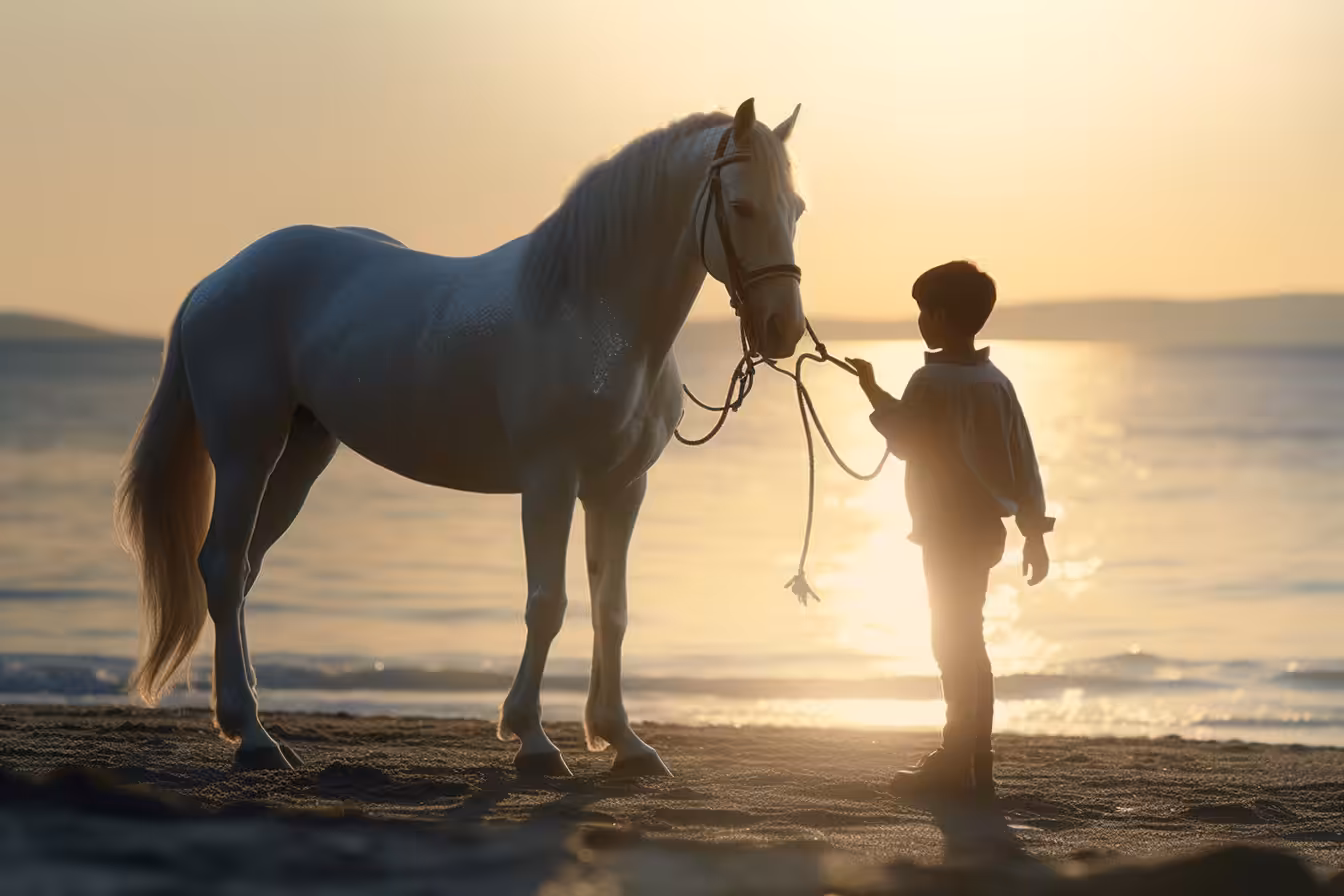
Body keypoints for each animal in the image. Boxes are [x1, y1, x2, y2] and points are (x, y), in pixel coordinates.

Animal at [115, 98, 808, 777]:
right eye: (741, 207)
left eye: (796, 209)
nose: (782, 330)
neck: (593, 315)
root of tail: (217, 281)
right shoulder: (550, 483)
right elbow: (547, 603)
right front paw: (532, 738)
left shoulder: (620, 490)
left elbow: (611, 611)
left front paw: (625, 742)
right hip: (246, 454)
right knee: (223, 565)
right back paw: (255, 736)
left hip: (301, 456)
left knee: (244, 569)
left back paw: (246, 722)